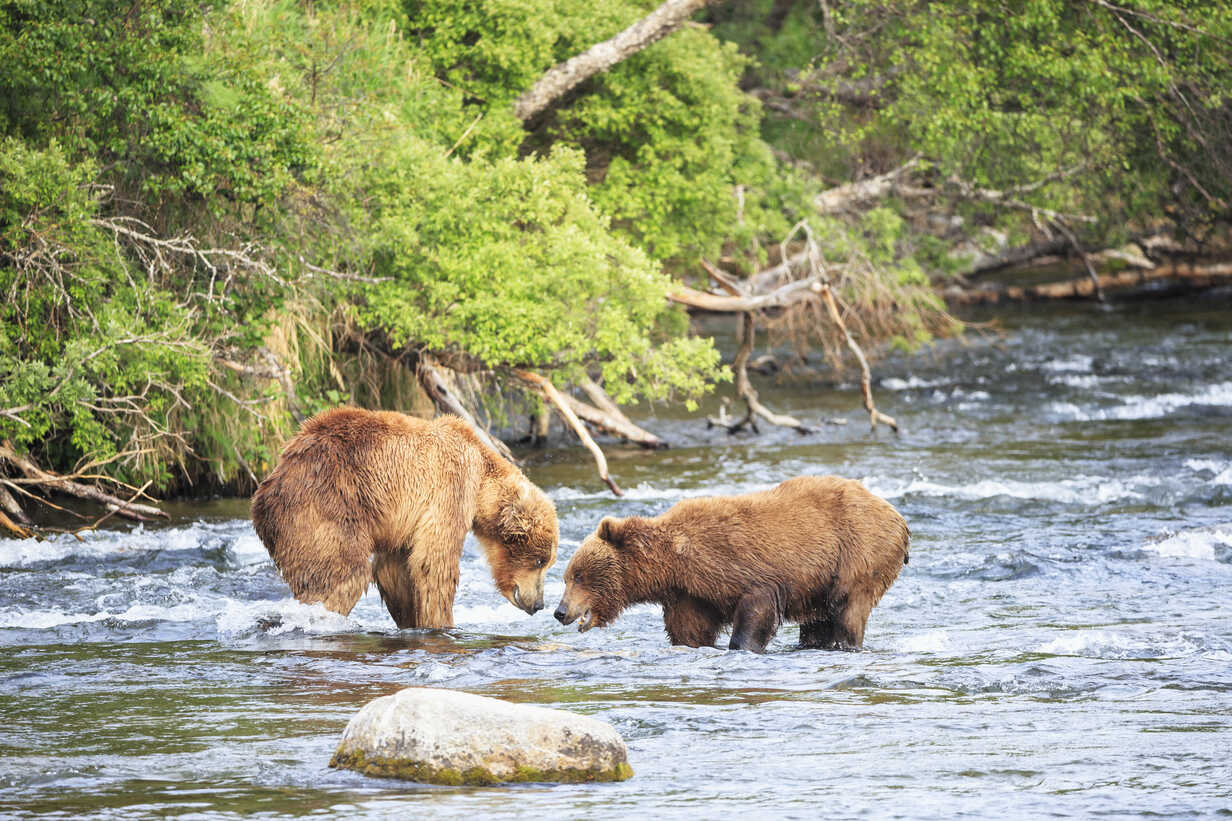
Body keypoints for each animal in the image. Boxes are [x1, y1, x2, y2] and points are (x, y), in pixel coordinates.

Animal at [250, 406, 559, 626]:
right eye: (540, 560)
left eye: (548, 562)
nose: (539, 604)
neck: (483, 481)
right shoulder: (451, 486)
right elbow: (434, 564)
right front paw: (443, 624)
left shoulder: (401, 524)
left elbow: (397, 571)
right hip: (326, 508)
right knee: (341, 576)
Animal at [554, 473, 911, 650]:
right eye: (567, 577)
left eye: (580, 575)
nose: (560, 611)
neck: (673, 565)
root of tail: (896, 514)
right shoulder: (690, 595)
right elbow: (689, 631)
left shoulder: (737, 564)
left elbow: (757, 607)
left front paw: (742, 645)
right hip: (821, 582)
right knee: (818, 620)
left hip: (859, 552)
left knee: (847, 609)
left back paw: (845, 643)